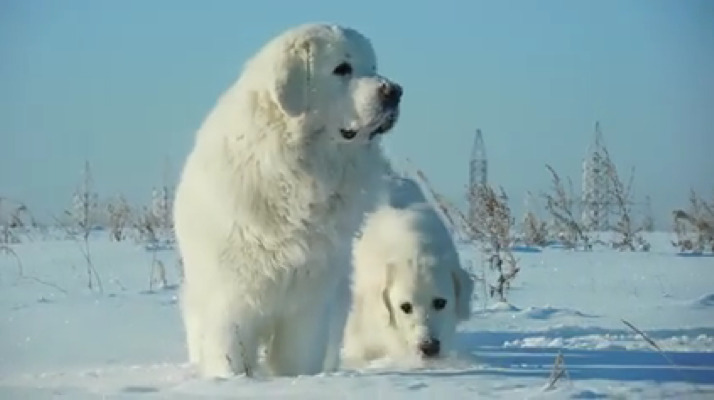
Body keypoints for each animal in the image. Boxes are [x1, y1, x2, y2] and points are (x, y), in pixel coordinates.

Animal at [170, 22, 398, 378]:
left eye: (372, 67)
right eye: (342, 69)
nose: (395, 91)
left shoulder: (307, 302)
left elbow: (299, 358)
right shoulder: (230, 299)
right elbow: (229, 355)